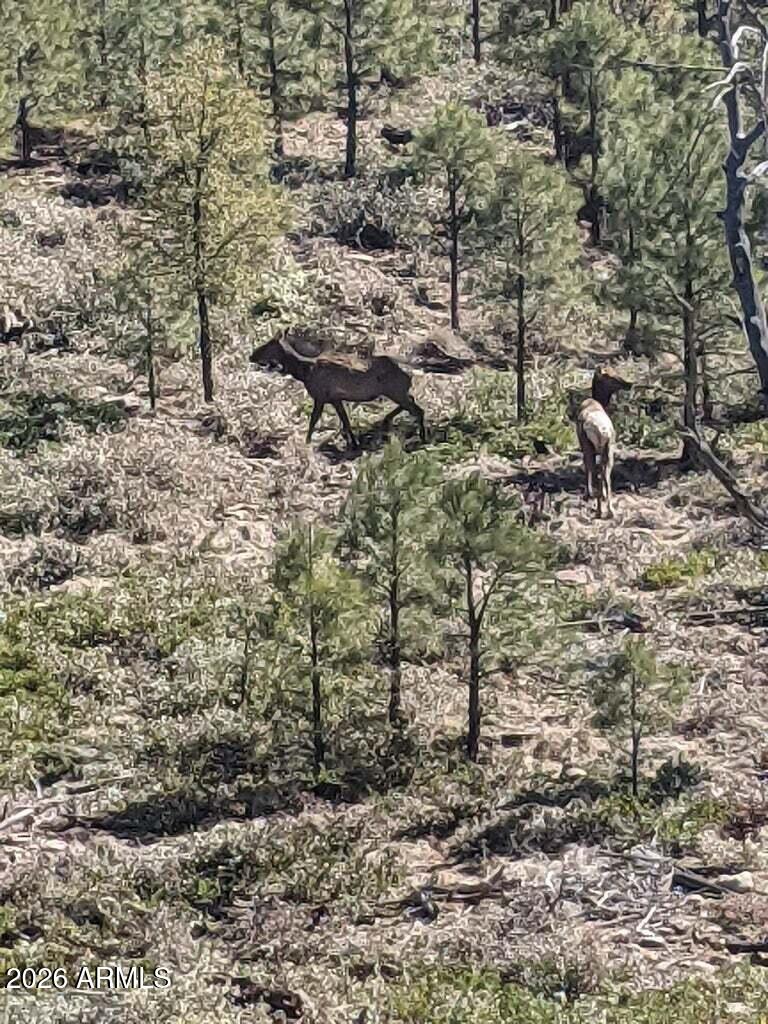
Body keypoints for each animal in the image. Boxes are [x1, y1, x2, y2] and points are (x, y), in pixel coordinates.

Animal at [250, 336, 426, 448]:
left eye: (268, 345)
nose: (251, 355)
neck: (304, 371)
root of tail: (411, 371)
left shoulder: (320, 396)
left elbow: (313, 420)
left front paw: (307, 443)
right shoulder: (335, 399)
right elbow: (345, 421)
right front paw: (353, 443)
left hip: (395, 391)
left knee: (418, 409)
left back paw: (422, 437)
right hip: (397, 391)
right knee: (412, 401)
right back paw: (387, 420)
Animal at [576, 367, 631, 519]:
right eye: (610, 376)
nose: (628, 384)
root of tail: (601, 430)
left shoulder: (584, 446)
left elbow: (588, 467)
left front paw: (588, 495)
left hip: (592, 447)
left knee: (595, 472)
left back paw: (599, 509)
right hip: (608, 447)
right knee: (606, 474)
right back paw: (610, 510)